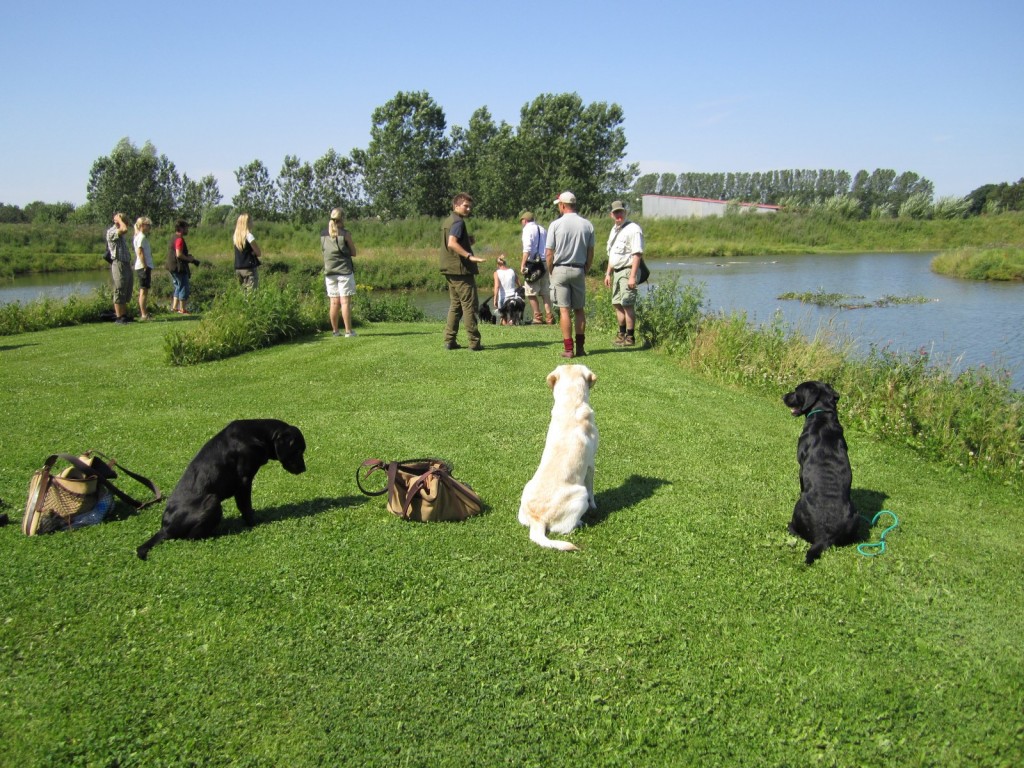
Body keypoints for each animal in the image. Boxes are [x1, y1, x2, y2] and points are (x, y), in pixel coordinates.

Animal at [140, 421, 307, 561]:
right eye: (298, 450)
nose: (304, 469)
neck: (256, 434)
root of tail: (164, 529)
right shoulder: (244, 480)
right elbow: (246, 507)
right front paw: (254, 523)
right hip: (212, 501)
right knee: (191, 537)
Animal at [516, 364, 598, 548]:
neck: (571, 403)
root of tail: (537, 520)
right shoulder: (591, 464)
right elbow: (591, 489)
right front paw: (594, 506)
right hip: (579, 494)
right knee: (566, 528)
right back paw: (580, 522)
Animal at [782, 380, 856, 565]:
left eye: (796, 391)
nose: (783, 396)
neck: (823, 414)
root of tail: (824, 538)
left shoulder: (801, 467)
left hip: (799, 504)